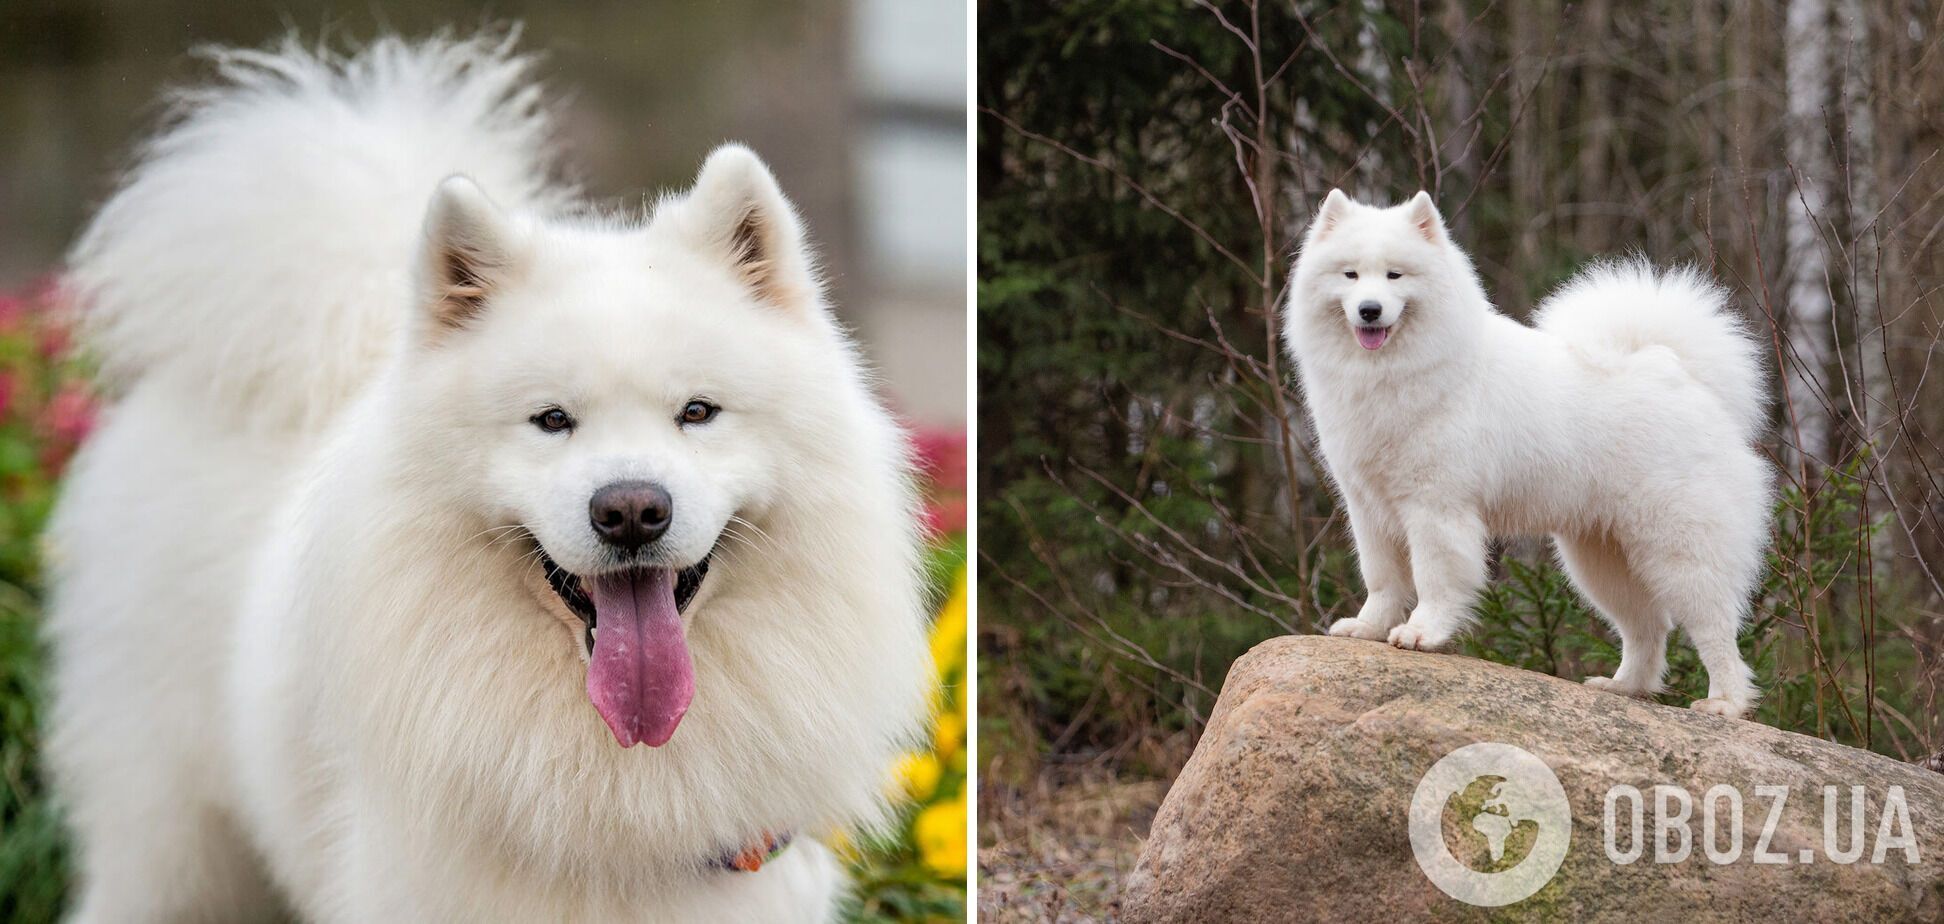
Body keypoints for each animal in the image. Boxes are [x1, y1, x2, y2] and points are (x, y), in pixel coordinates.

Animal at [1283, 191, 1772, 719]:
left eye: (1395, 275)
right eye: (1350, 275)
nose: (1370, 310)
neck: (1393, 374)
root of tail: (1679, 371)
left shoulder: (1435, 507)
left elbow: (1434, 577)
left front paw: (1421, 633)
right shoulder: (1368, 507)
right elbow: (1382, 580)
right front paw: (1368, 628)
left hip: (1680, 551)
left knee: (1715, 628)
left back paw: (1724, 703)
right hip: (1602, 561)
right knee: (1647, 628)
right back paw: (1623, 687)